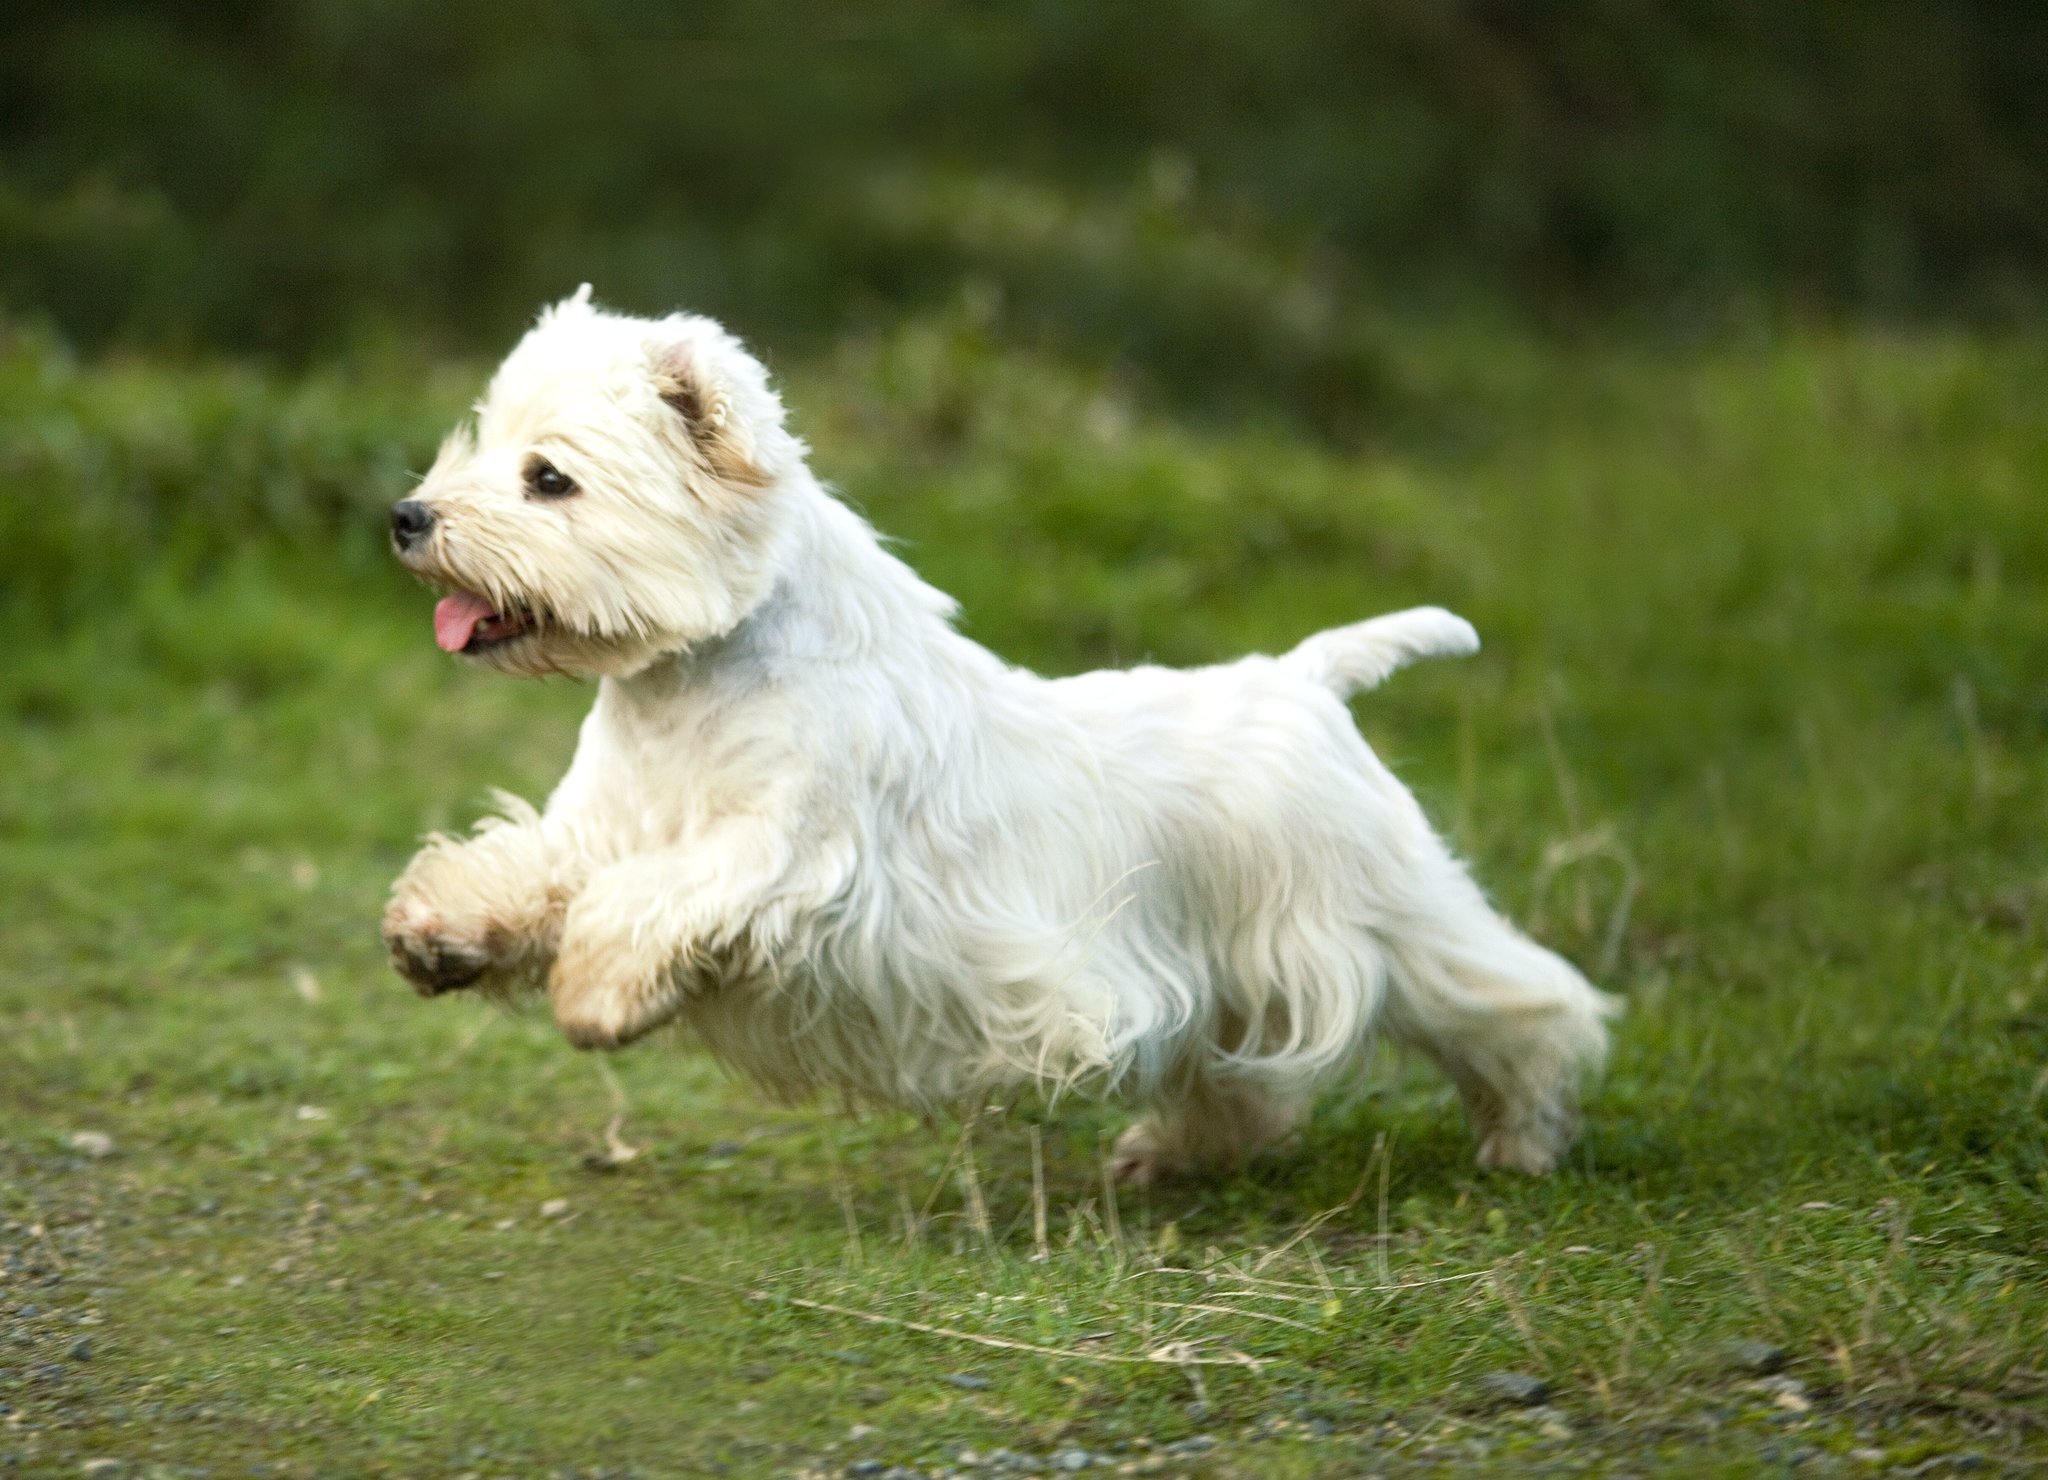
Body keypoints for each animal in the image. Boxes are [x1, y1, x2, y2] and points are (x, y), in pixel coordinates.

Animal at [385, 288, 1613, 1187]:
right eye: (483, 440)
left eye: (550, 478)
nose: (407, 517)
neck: (695, 674)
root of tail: (1309, 679)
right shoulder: (598, 825)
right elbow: (529, 870)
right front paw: (437, 935)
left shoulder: (791, 848)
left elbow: (650, 901)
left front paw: (595, 996)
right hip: (1229, 964)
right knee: (1239, 1081)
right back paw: (1161, 1156)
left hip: (1372, 914)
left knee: (1520, 1000)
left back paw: (1522, 1140)